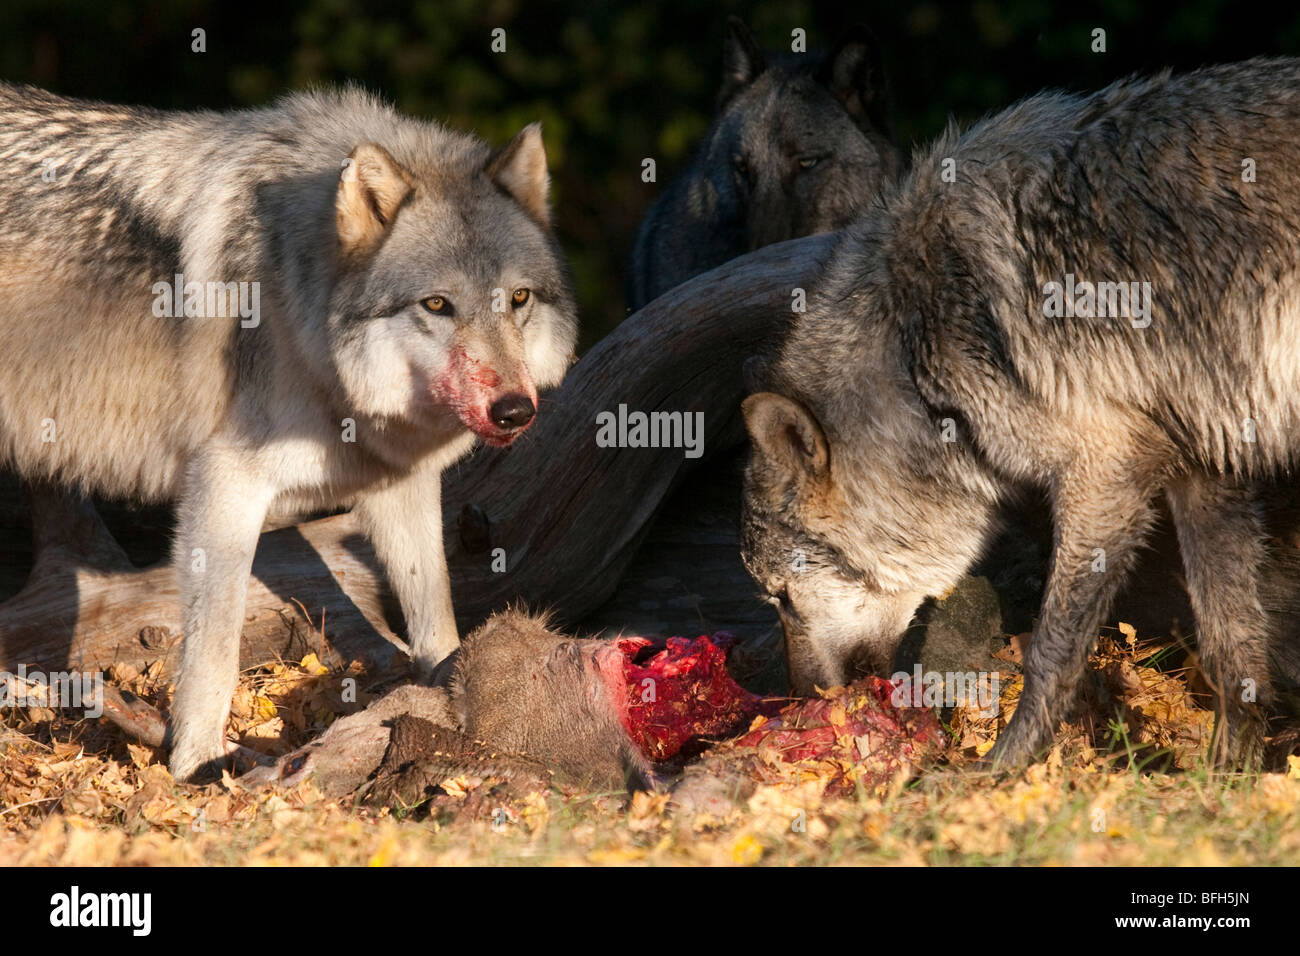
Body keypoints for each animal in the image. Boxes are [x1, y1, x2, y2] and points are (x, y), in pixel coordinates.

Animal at [0, 82, 574, 780]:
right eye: (437, 305)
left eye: (517, 300)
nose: (515, 411)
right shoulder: (223, 491)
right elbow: (215, 650)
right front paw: (196, 766)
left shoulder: (401, 485)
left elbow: (436, 620)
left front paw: (450, 698)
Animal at [738, 57, 1300, 770]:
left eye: (781, 597)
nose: (799, 699)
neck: (911, 356)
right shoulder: (1204, 473)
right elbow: (1231, 645)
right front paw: (1227, 774)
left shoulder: (1104, 478)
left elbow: (1050, 653)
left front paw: (1002, 770)